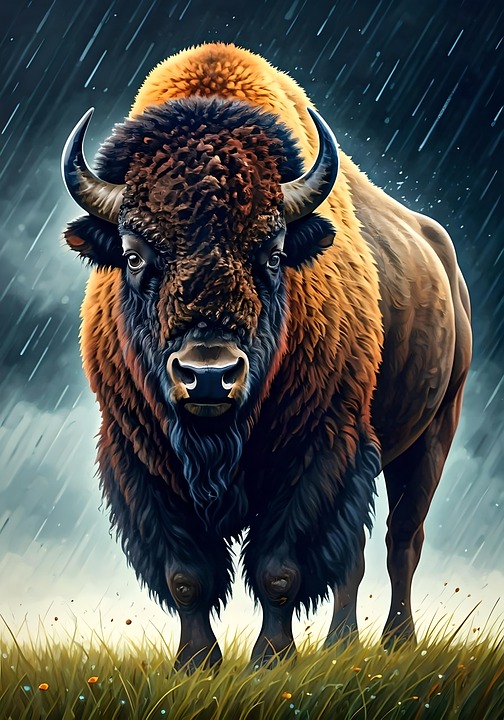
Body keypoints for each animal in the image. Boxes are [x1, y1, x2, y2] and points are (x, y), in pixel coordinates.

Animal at [61, 42, 472, 668]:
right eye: (132, 255)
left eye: (274, 253)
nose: (208, 377)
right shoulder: (141, 458)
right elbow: (187, 575)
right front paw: (195, 664)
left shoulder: (317, 448)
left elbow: (281, 569)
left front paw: (271, 659)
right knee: (354, 557)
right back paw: (342, 644)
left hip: (431, 436)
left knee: (402, 539)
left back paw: (395, 642)